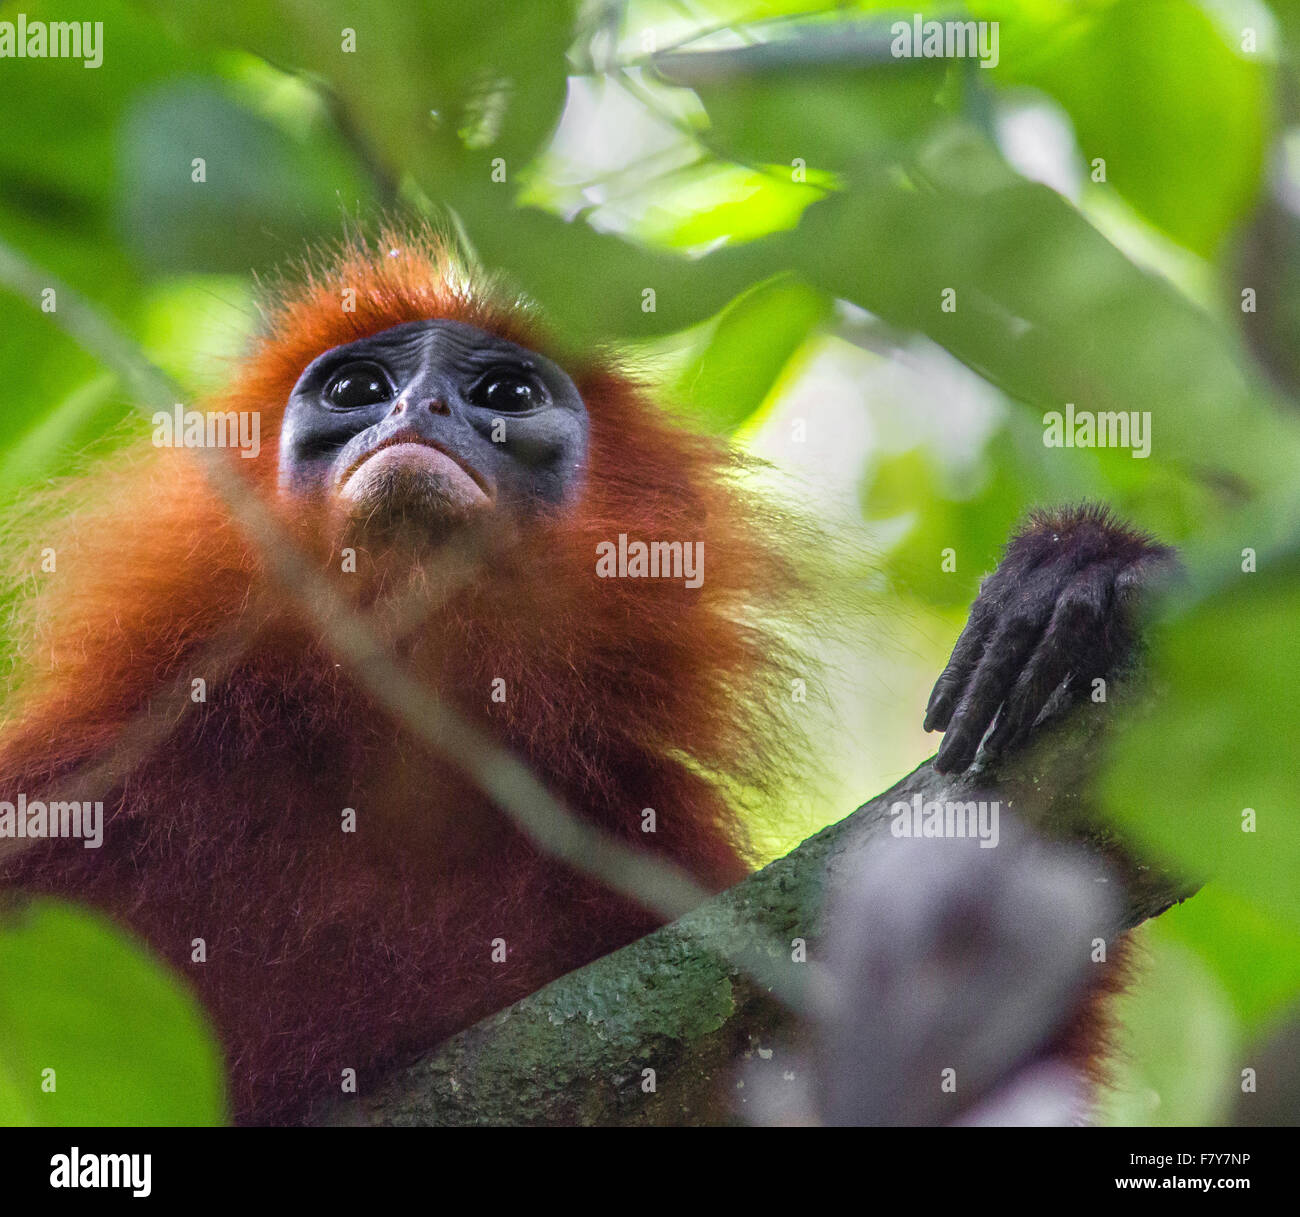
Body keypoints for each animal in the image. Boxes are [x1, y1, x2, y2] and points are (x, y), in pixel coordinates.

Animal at [0, 228, 1171, 1124]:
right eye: (358, 387)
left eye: (504, 392)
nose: (419, 410)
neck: (392, 760)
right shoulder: (81, 781)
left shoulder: (644, 853)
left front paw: (1078, 577)